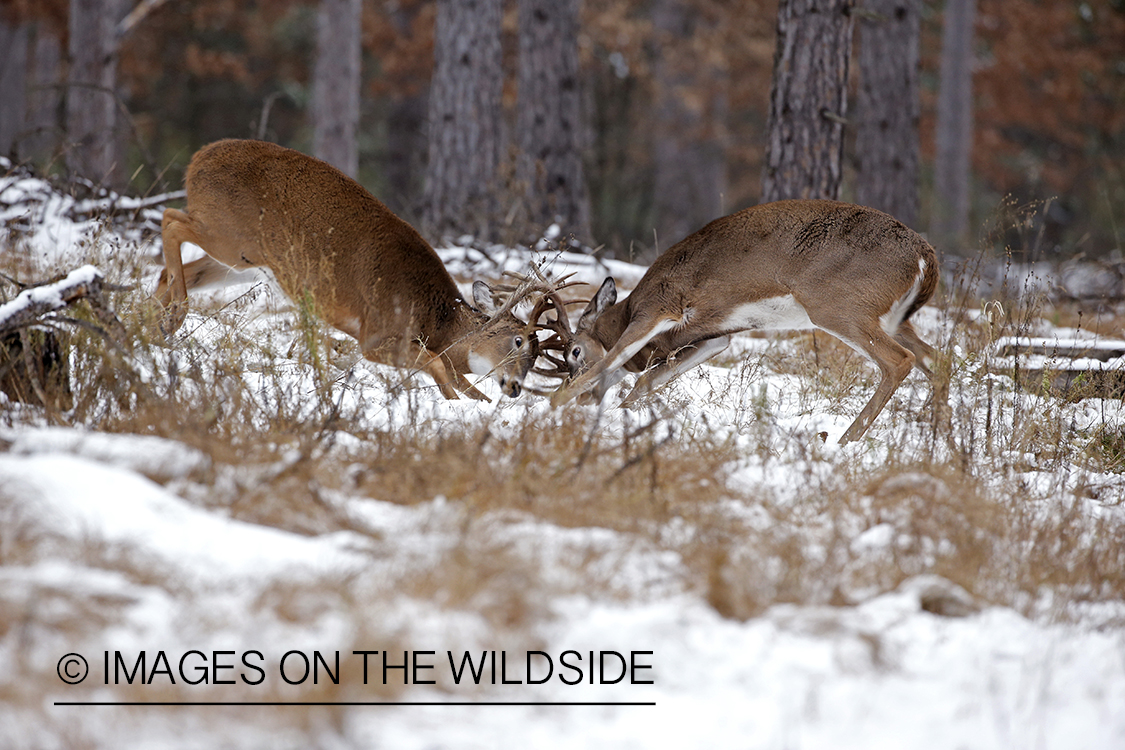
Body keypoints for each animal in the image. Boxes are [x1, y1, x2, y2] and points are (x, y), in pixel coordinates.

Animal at [155, 137, 540, 402]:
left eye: (536, 356)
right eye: (518, 340)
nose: (516, 387)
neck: (434, 319)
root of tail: (197, 158)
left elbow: (466, 383)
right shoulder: (376, 334)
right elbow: (436, 364)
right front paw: (452, 402)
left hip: (249, 261)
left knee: (176, 267)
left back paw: (155, 320)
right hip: (233, 237)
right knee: (172, 221)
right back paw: (174, 315)